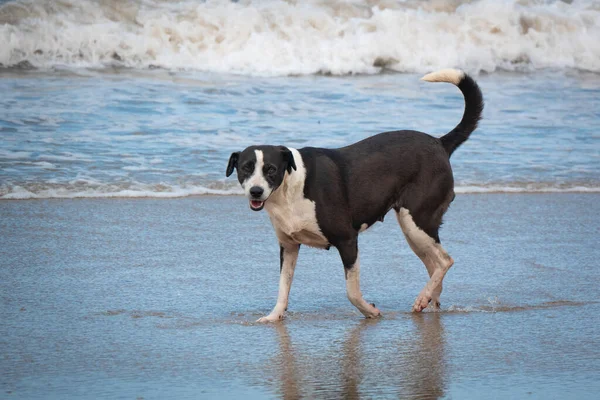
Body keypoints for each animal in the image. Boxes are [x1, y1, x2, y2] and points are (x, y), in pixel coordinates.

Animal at [225, 69, 482, 322]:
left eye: (271, 170)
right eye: (246, 168)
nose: (255, 191)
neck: (290, 188)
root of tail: (439, 143)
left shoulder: (347, 240)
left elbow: (352, 291)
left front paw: (370, 311)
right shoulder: (288, 246)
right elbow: (283, 286)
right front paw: (274, 316)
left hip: (416, 221)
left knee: (445, 261)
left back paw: (422, 298)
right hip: (415, 231)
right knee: (434, 264)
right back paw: (429, 301)